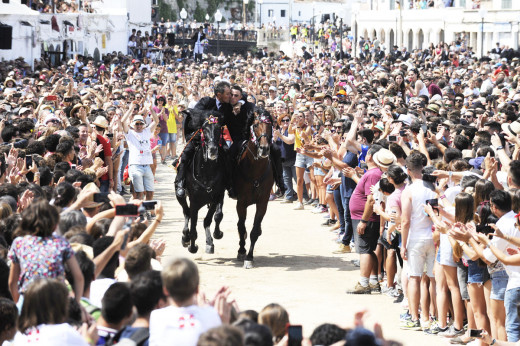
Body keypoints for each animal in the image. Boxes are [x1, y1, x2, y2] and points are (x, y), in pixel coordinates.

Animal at [177, 110, 225, 254]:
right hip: (182, 196)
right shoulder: (194, 201)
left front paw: (214, 237)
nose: (213, 149)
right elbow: (193, 226)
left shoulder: (216, 197)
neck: (206, 173)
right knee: (186, 212)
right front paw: (192, 246)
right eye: (204, 129)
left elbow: (212, 218)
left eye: (219, 128)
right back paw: (185, 237)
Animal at [236, 109, 276, 268]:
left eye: (270, 125)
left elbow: (254, 231)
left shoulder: (262, 203)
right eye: (256, 124)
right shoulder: (241, 203)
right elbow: (241, 227)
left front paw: (249, 257)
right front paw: (242, 251)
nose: (264, 148)